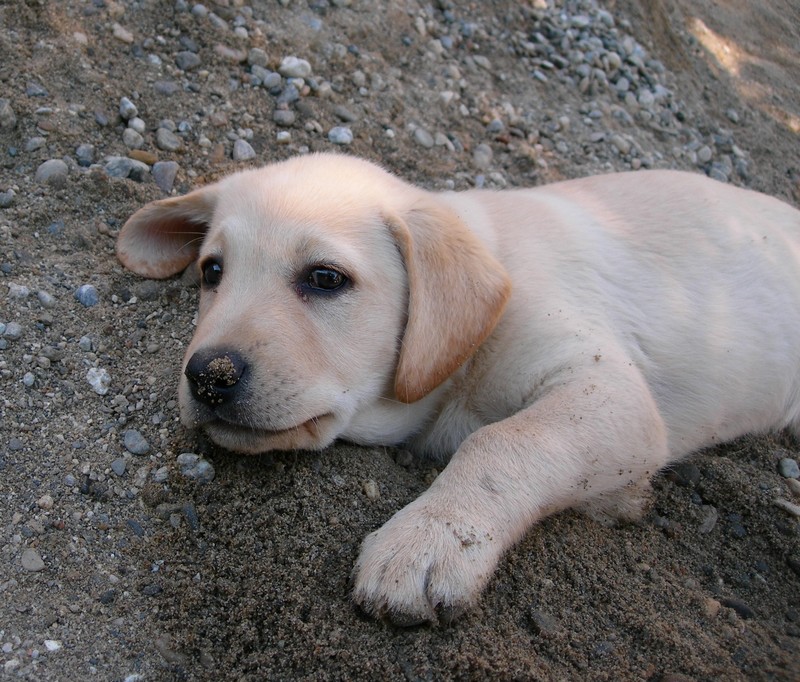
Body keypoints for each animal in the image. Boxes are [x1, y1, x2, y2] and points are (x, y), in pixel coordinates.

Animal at [117, 153, 800, 620]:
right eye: (213, 271)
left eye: (325, 278)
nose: (207, 377)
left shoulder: (608, 389)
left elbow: (506, 440)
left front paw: (430, 540)